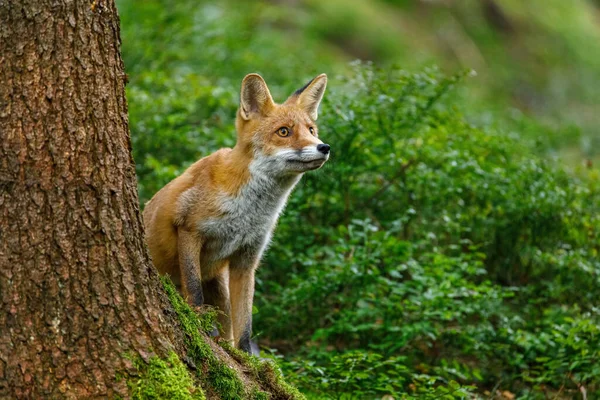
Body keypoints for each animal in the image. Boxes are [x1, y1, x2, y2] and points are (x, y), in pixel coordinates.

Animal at [143, 72, 330, 354]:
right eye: (283, 132)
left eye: (311, 130)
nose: (324, 147)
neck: (247, 214)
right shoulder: (188, 229)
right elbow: (194, 289)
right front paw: (201, 324)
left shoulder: (247, 258)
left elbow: (245, 323)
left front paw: (246, 357)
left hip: (220, 289)